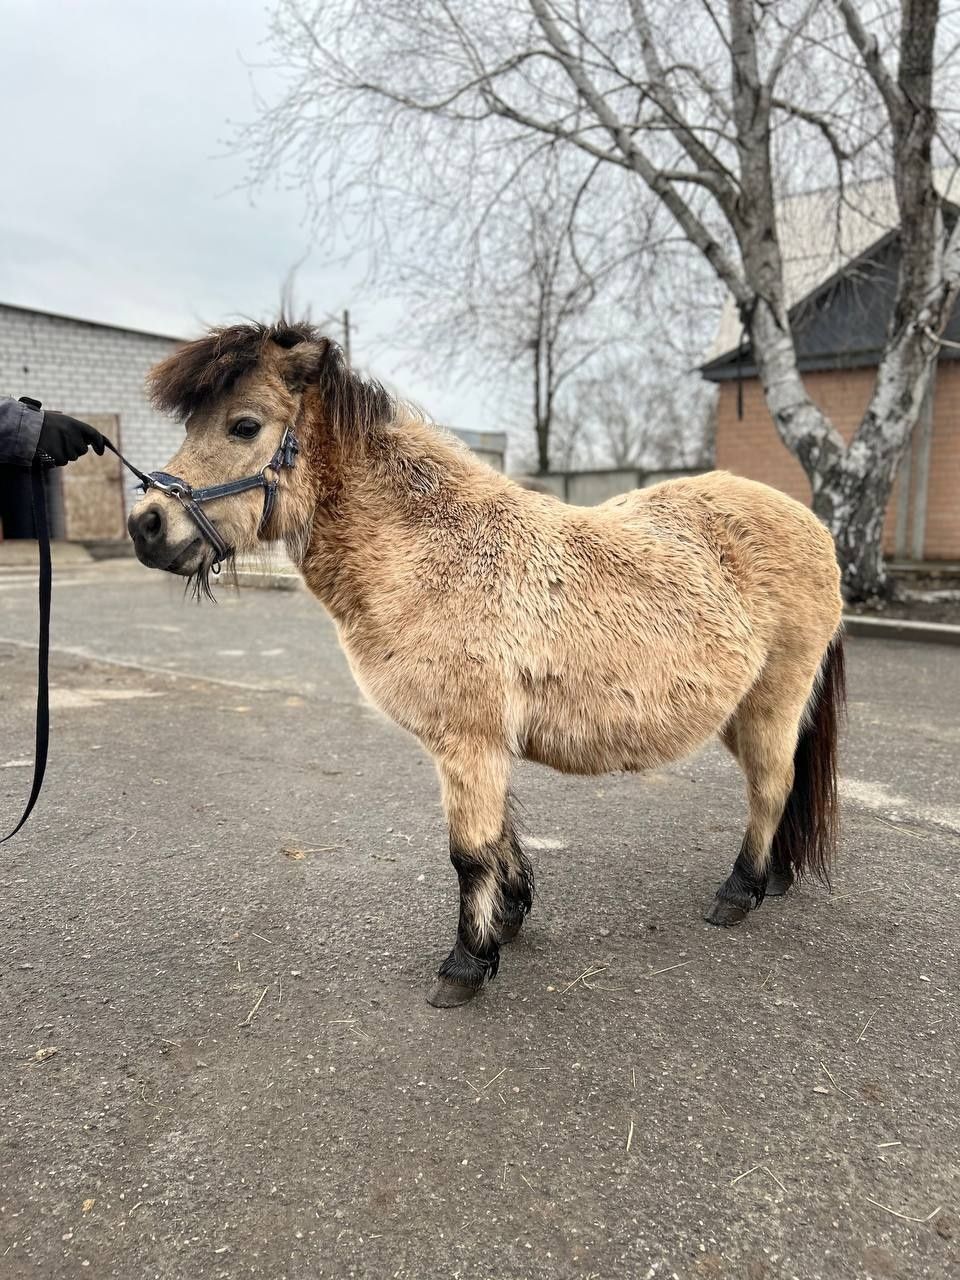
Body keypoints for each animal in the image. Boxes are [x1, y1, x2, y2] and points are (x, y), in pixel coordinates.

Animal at [129, 320, 849, 1008]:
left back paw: (739, 890)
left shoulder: (468, 740)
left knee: (771, 786)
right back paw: (773, 879)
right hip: (741, 710)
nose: (146, 525)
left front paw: (467, 963)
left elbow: (469, 853)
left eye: (244, 425)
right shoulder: (482, 745)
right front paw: (509, 916)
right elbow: (499, 837)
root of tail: (812, 523)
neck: (436, 550)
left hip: (772, 699)